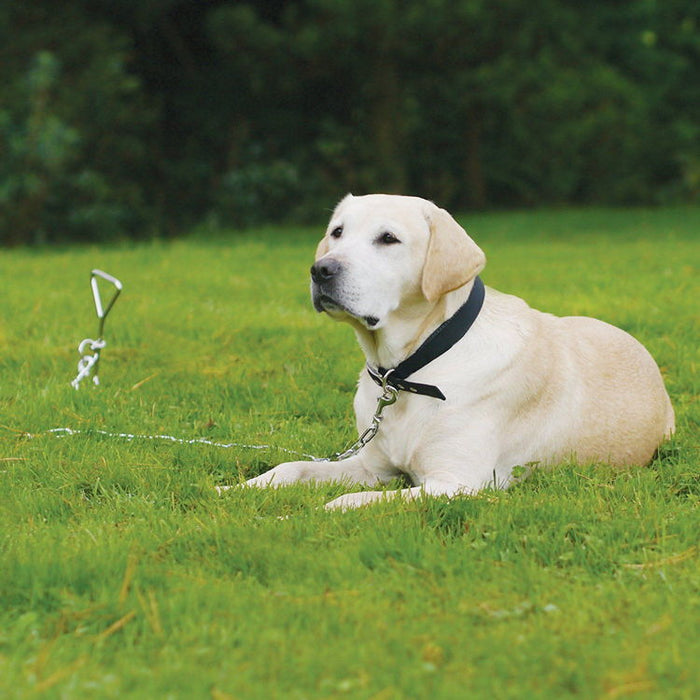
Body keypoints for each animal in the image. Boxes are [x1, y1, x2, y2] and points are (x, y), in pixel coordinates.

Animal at [239, 193, 672, 508]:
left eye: (388, 238)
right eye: (337, 232)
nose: (321, 270)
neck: (413, 368)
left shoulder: (455, 484)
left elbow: (351, 501)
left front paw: (308, 513)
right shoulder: (372, 465)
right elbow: (289, 469)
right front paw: (237, 491)